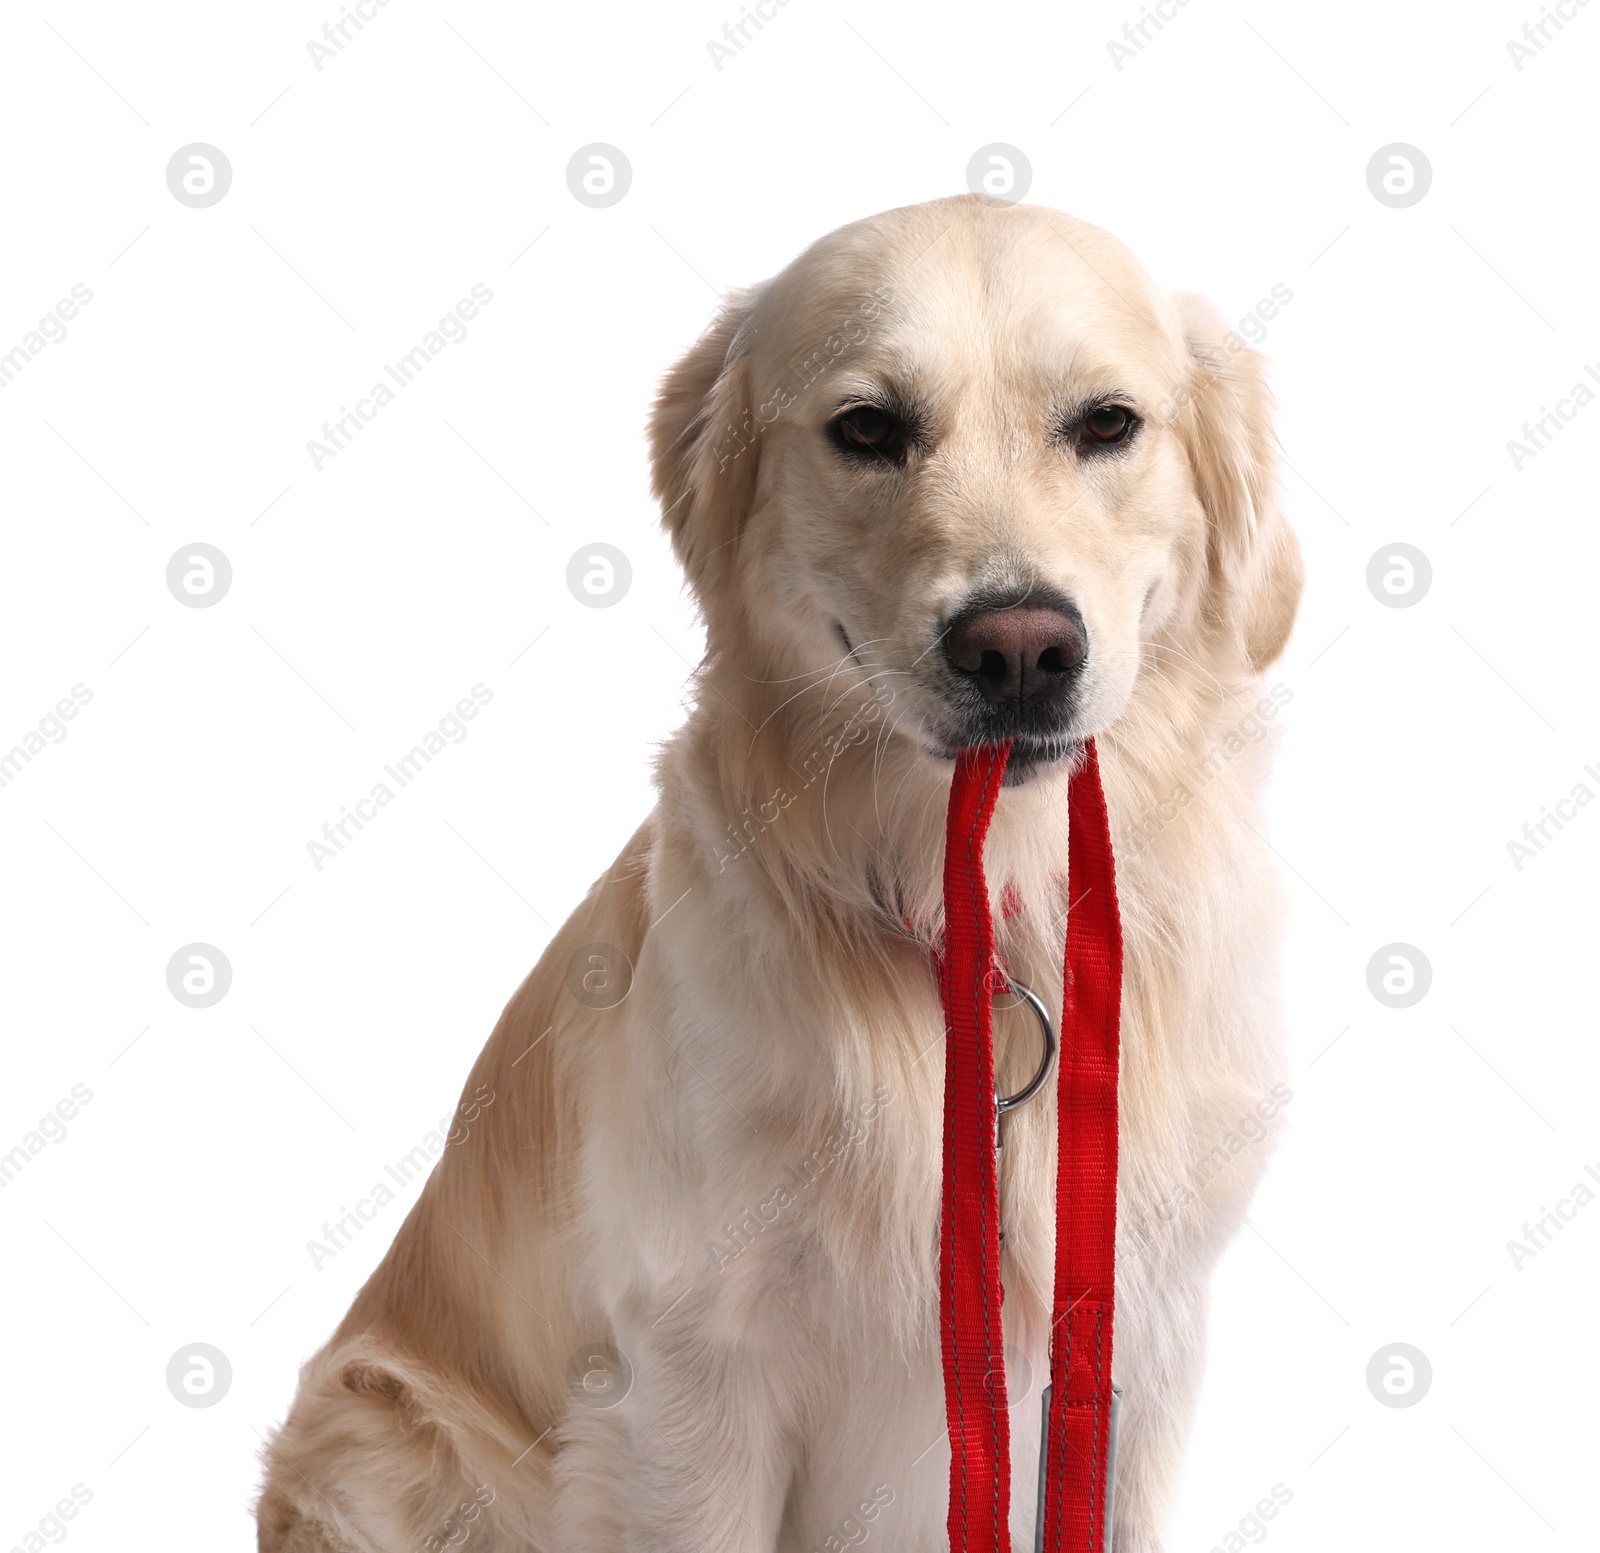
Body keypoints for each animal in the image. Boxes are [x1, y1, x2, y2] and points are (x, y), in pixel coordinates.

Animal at [252, 194, 1299, 1553]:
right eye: (868, 428)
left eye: (1107, 423)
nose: (1019, 648)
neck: (984, 916)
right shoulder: (693, 1378)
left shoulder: (1136, 1344)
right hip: (383, 1435)